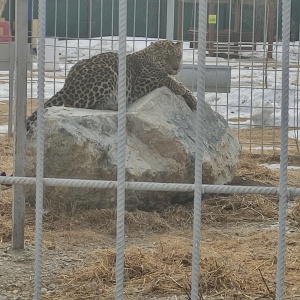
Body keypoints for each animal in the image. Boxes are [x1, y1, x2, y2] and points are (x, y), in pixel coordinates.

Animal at [1, 39, 198, 188]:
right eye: (166, 58)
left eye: (178, 56)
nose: (176, 68)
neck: (149, 57)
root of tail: (67, 84)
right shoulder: (144, 82)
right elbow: (169, 80)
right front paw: (187, 94)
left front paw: (191, 97)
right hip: (106, 76)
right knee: (80, 104)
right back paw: (112, 106)